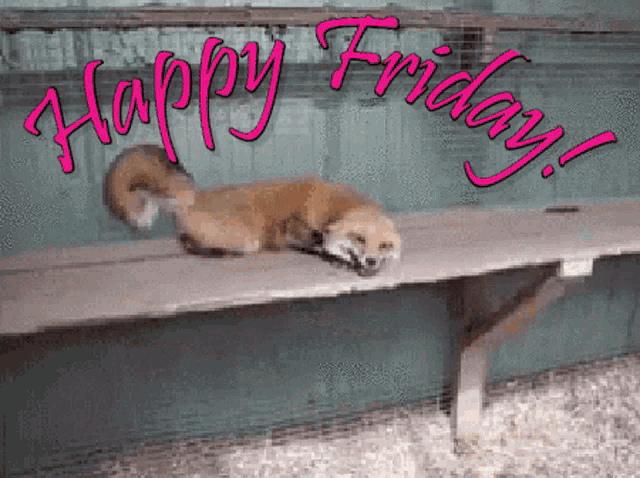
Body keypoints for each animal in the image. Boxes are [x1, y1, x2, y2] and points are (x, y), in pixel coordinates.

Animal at [103, 144, 401, 276]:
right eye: (358, 239)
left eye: (384, 246)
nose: (371, 262)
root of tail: (195, 195)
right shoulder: (292, 231)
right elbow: (317, 247)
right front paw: (337, 259)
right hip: (247, 239)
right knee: (188, 243)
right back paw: (216, 252)